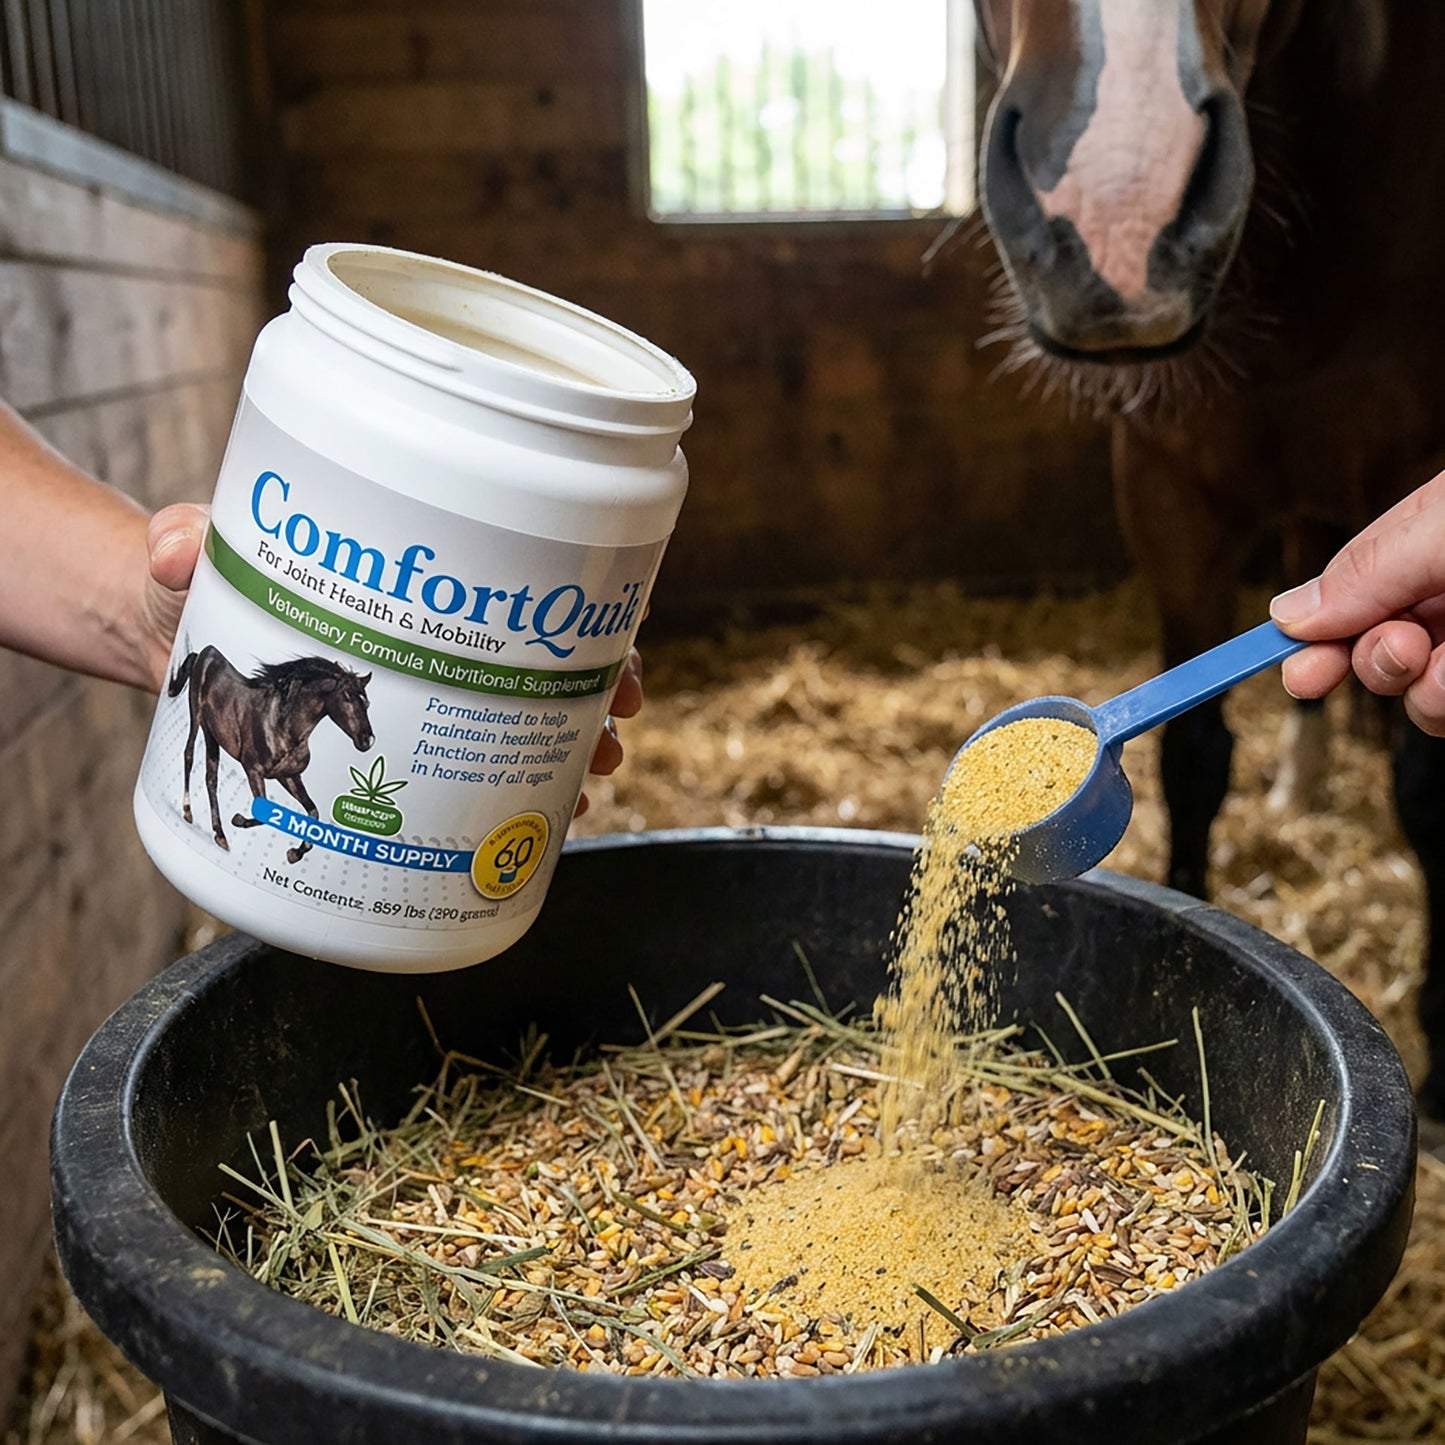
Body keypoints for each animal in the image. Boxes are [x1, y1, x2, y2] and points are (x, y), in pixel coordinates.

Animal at [168, 647, 375, 863]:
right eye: (347, 696)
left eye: (367, 703)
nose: (367, 740)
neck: (283, 726)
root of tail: (206, 651)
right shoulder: (253, 770)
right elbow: (262, 813)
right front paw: (238, 819)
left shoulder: (289, 776)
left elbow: (313, 814)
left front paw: (295, 853)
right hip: (196, 714)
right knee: (189, 756)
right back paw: (188, 811)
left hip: (211, 734)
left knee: (211, 778)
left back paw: (220, 834)